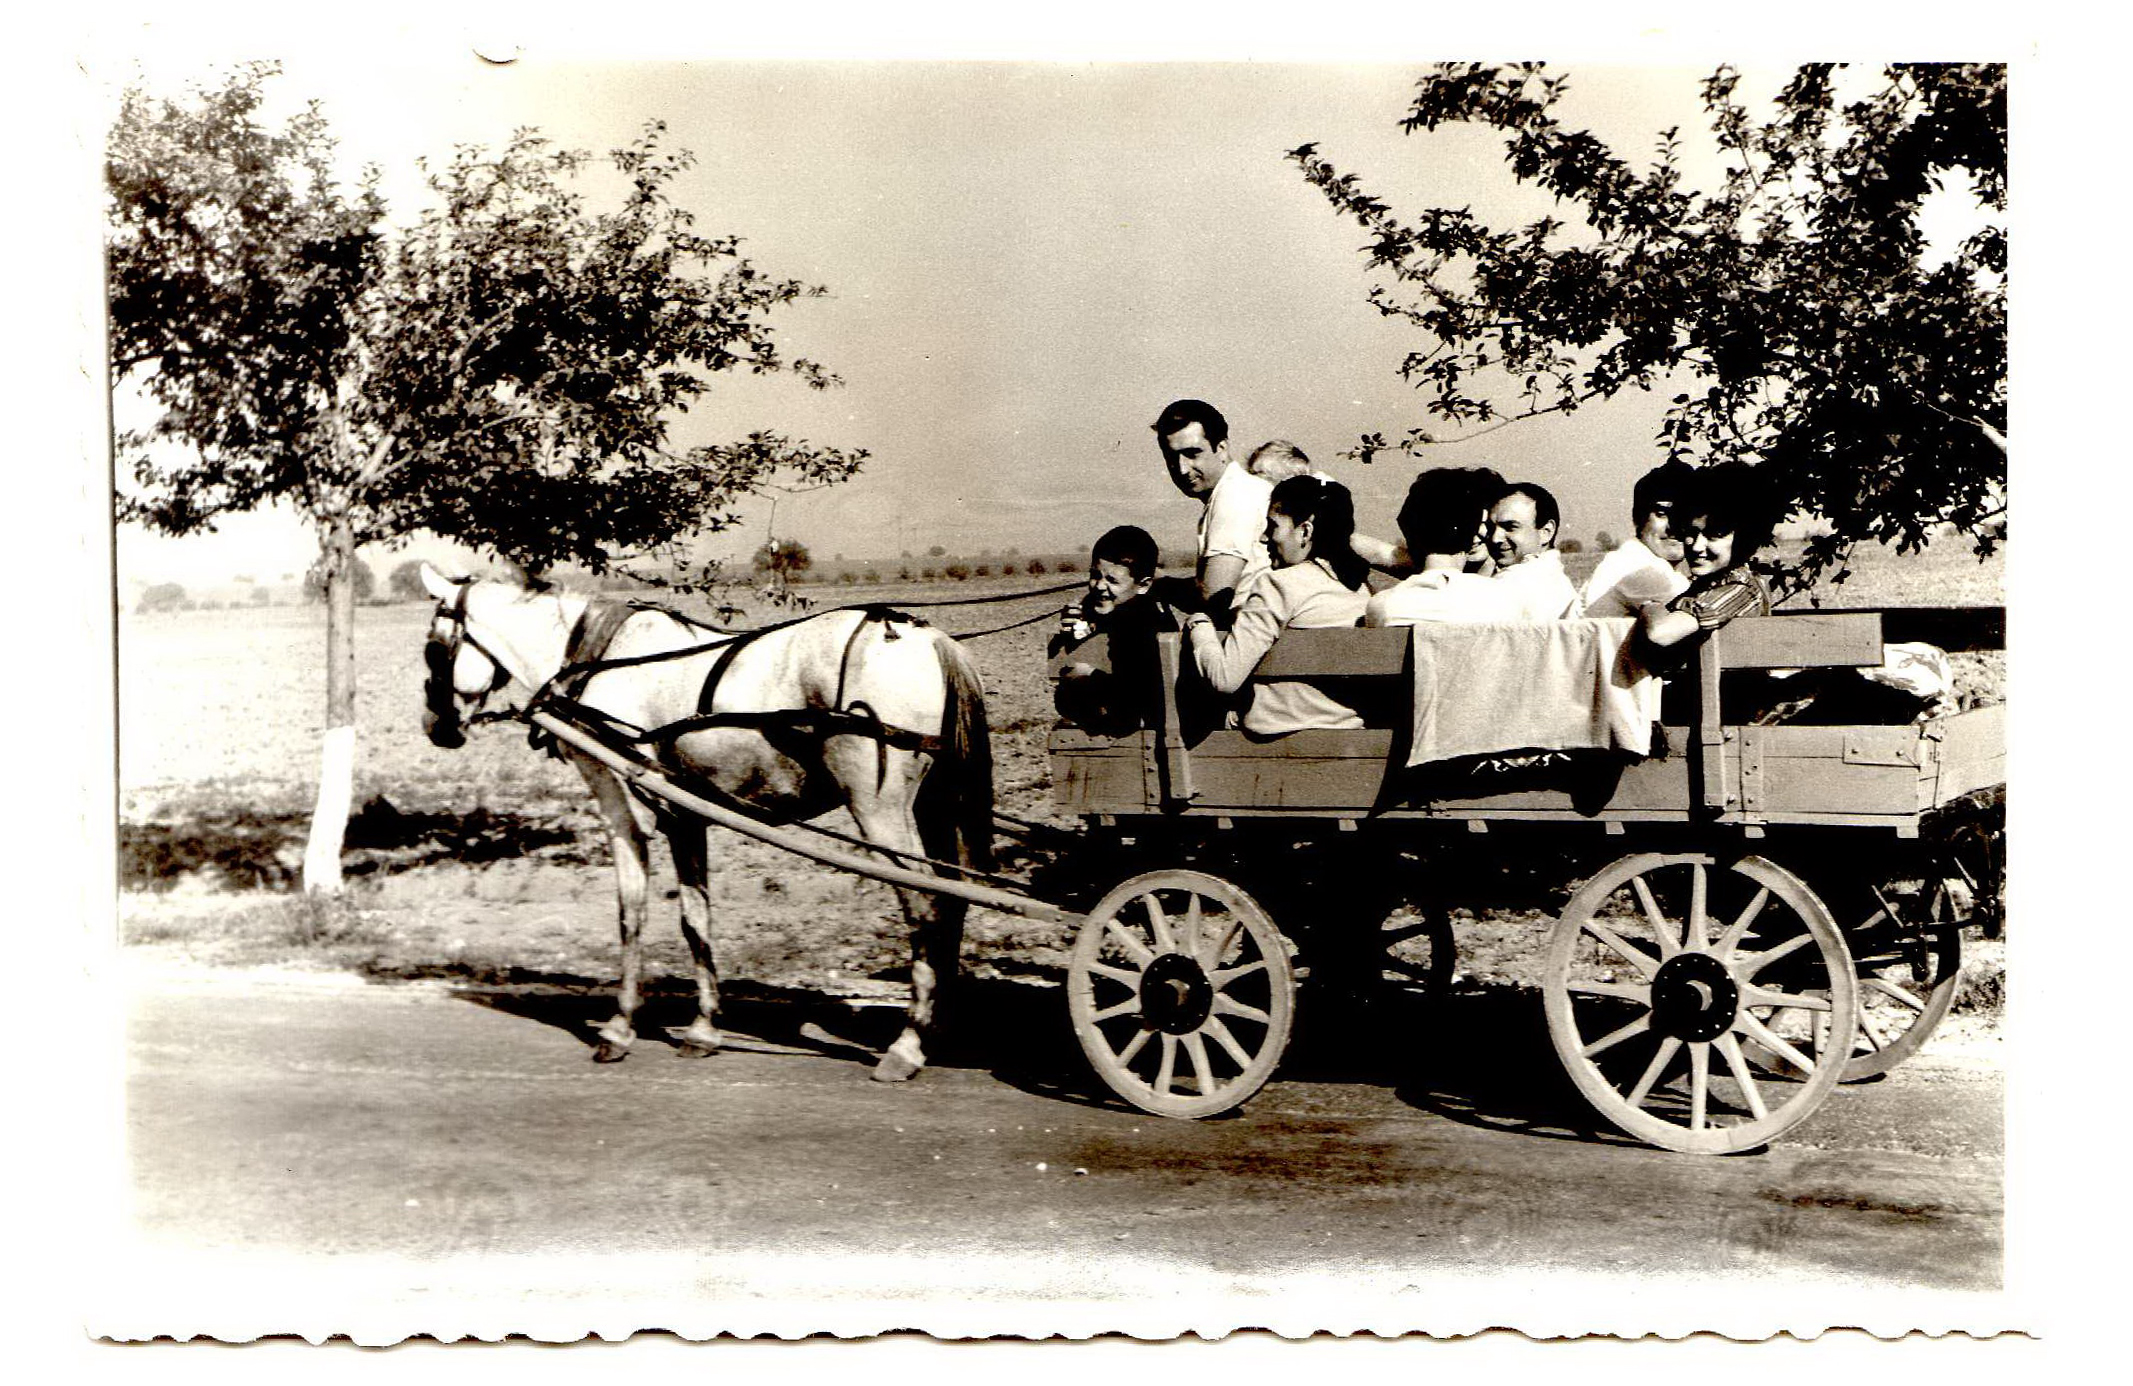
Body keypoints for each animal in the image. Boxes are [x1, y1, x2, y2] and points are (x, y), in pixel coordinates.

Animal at [417, 563, 994, 1081]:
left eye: (432, 649)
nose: (435, 726)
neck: (597, 656)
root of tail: (927, 638)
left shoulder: (621, 804)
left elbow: (631, 912)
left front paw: (619, 1028)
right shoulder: (686, 815)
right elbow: (696, 918)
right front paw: (703, 1029)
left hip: (880, 810)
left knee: (927, 907)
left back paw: (908, 1045)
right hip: (934, 805)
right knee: (955, 900)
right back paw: (936, 1030)